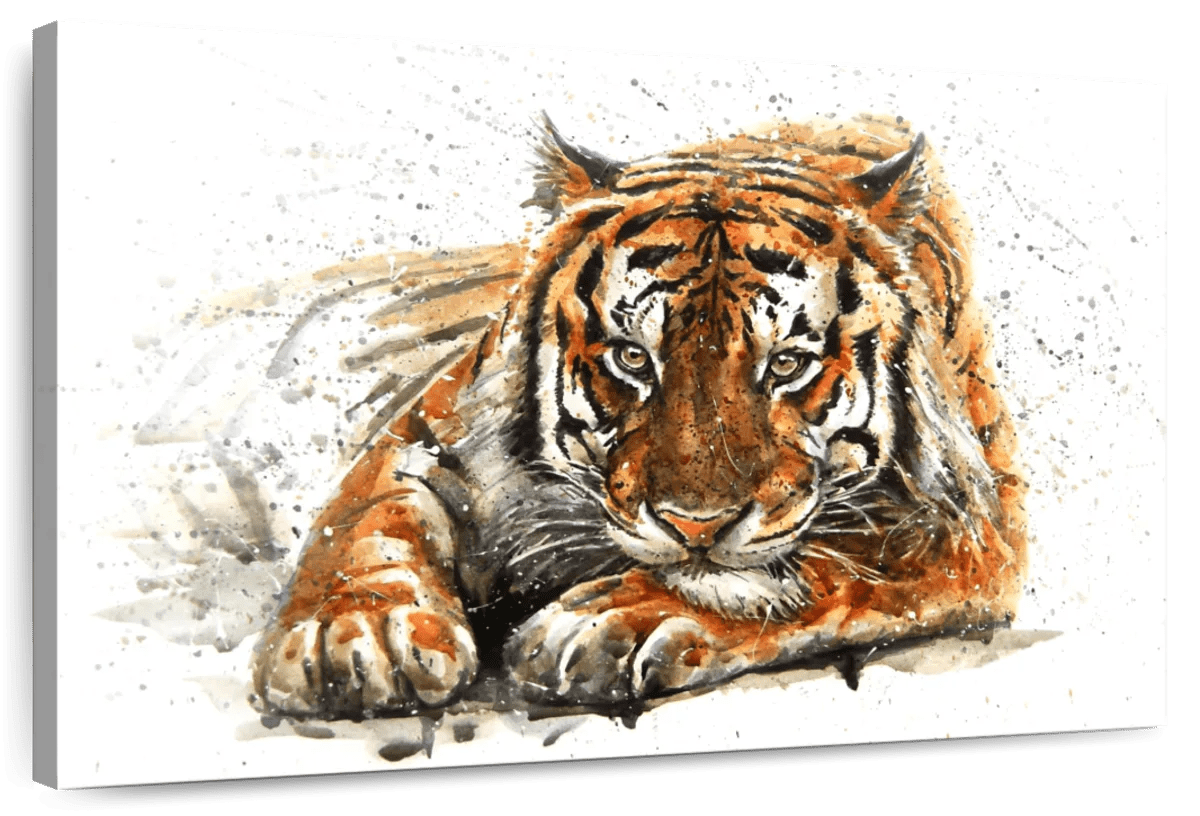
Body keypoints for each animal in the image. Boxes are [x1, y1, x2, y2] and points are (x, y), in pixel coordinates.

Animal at [250, 113, 1026, 717]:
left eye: (785, 365)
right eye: (632, 358)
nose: (696, 527)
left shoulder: (967, 522)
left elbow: (818, 567)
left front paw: (611, 620)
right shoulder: (432, 430)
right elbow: (367, 516)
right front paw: (355, 631)